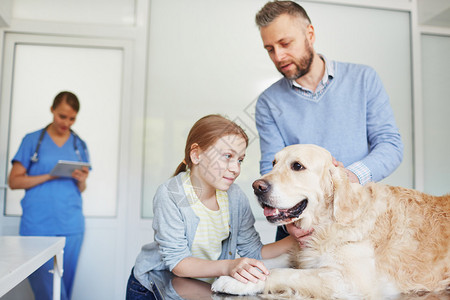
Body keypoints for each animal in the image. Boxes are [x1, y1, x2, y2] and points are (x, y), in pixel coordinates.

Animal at [212, 144, 450, 298]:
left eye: (297, 166)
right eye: (273, 162)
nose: (257, 187)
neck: (327, 224)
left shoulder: (349, 282)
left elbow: (284, 273)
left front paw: (235, 282)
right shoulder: (298, 253)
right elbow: (266, 262)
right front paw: (238, 270)